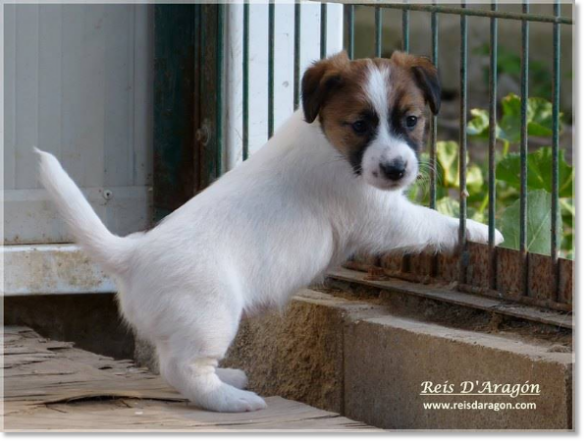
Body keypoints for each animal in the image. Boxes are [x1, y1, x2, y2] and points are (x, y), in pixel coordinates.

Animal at [35, 50, 502, 414]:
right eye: (359, 125)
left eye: (411, 120)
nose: (396, 169)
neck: (325, 141)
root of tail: (131, 256)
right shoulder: (382, 215)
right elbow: (437, 222)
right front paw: (485, 230)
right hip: (211, 316)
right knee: (182, 368)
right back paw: (231, 400)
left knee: (171, 361)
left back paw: (229, 379)